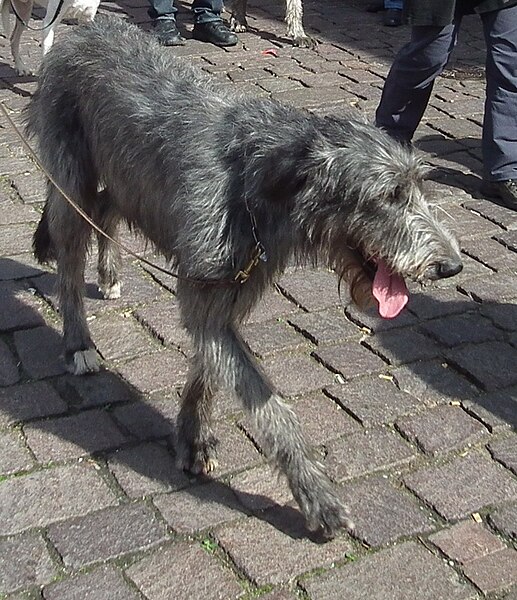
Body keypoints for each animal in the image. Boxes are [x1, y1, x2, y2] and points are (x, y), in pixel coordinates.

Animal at [26, 16, 462, 536]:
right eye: (388, 195)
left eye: (418, 186)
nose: (452, 265)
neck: (260, 181)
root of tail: (86, 29)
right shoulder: (208, 283)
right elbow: (266, 401)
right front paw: (315, 494)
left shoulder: (230, 287)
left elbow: (209, 366)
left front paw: (192, 438)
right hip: (70, 169)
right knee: (70, 253)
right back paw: (78, 342)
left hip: (128, 179)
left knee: (106, 209)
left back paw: (109, 273)